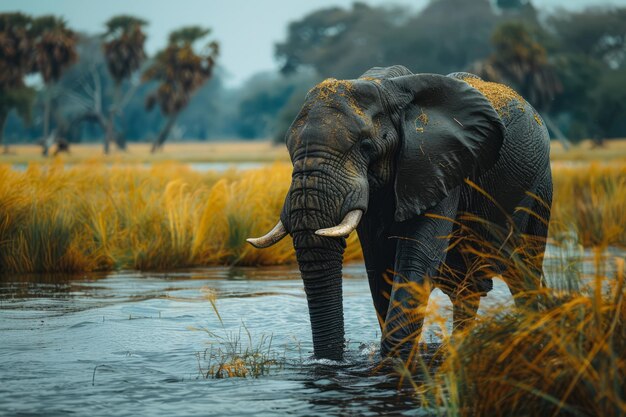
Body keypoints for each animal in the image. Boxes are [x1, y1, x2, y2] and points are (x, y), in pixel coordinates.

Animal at [246, 65, 548, 360]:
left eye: (366, 147)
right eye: (289, 149)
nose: (328, 360)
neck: (384, 86)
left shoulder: (436, 164)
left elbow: (416, 257)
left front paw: (395, 359)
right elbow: (379, 265)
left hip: (540, 188)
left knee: (525, 270)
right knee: (468, 290)